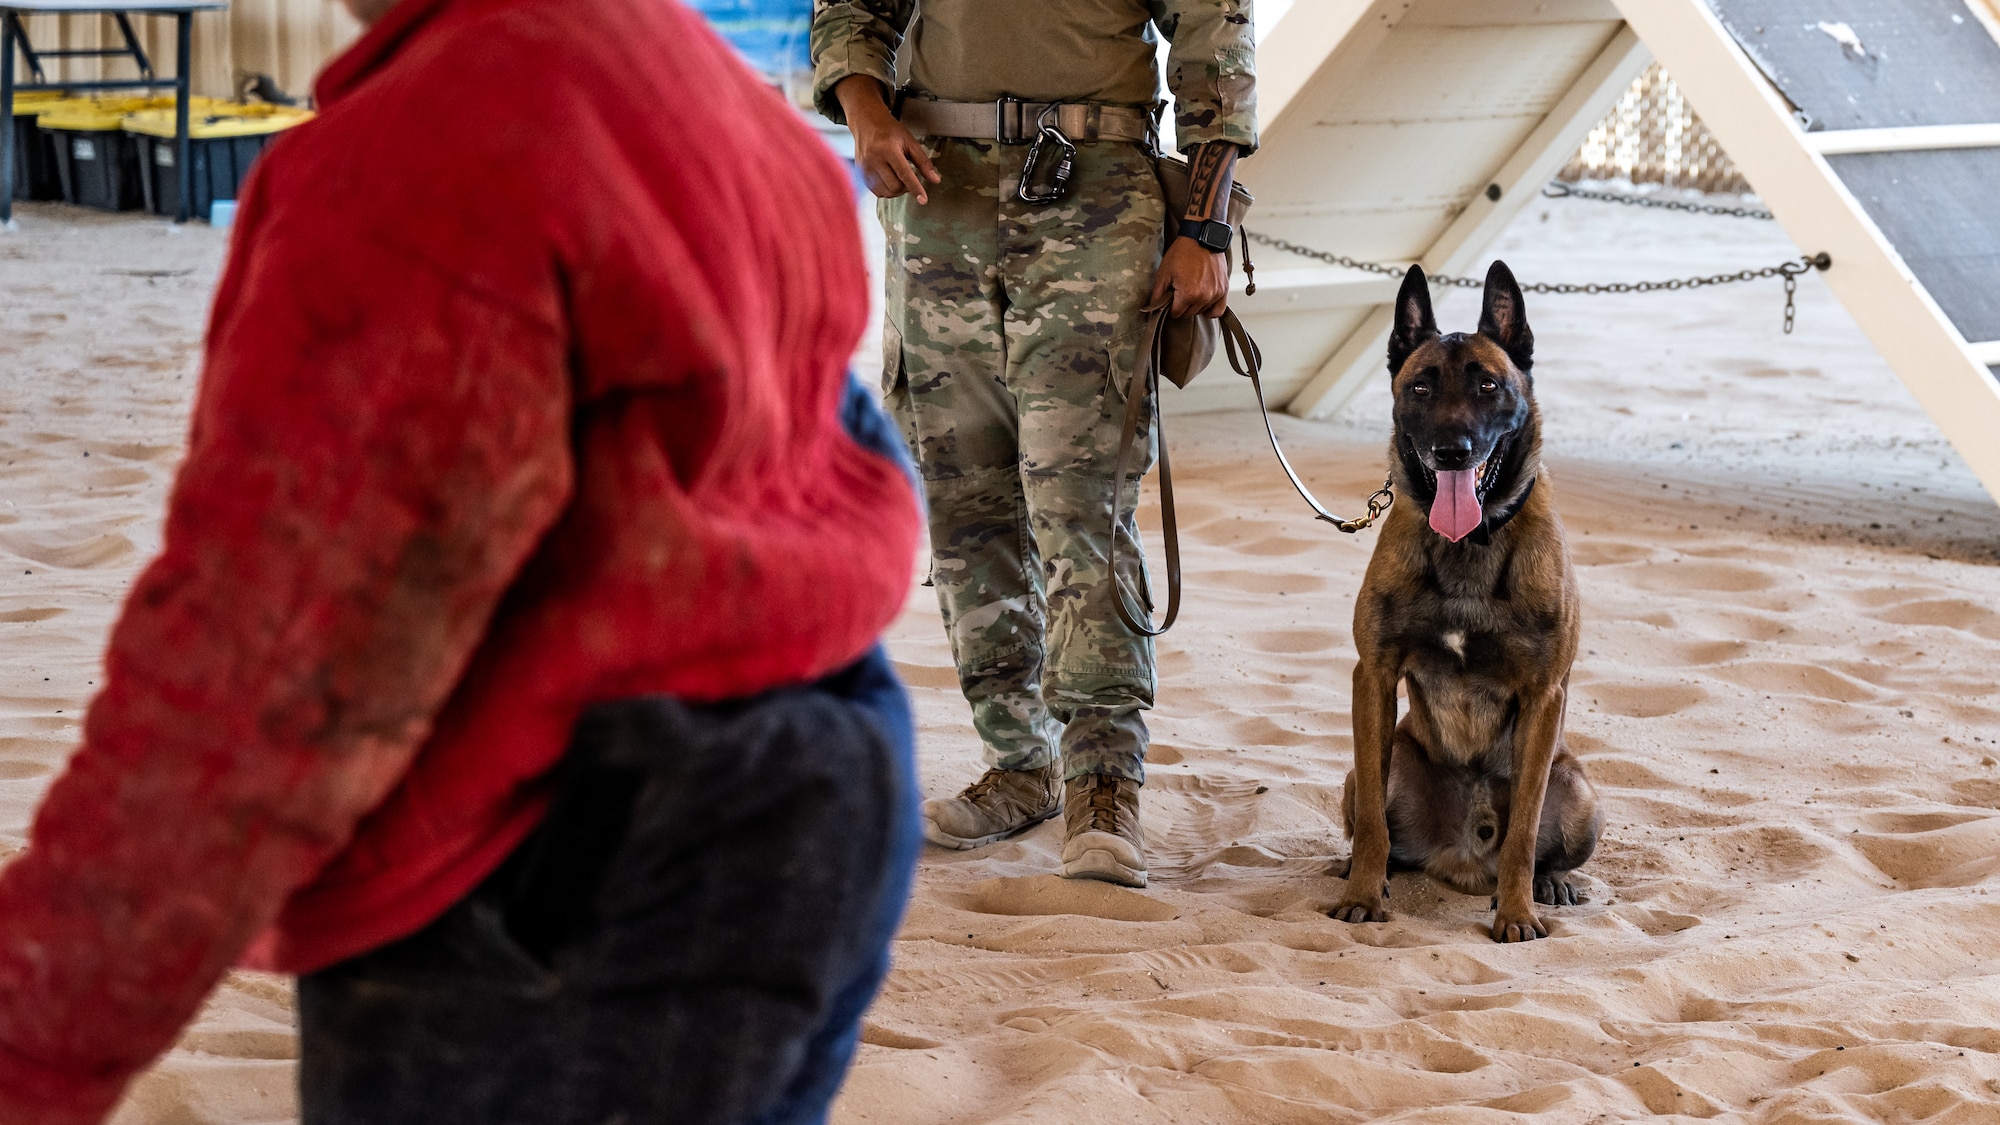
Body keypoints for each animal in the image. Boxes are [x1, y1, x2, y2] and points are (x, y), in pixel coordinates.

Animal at [1336, 260, 1600, 936]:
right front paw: (1363, 895)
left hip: (1580, 792)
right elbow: (1373, 822)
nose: (1451, 451)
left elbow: (1524, 832)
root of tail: (1460, 858)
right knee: (1377, 823)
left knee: (1538, 842)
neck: (1466, 548)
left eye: (1487, 386)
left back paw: (1549, 885)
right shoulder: (1373, 676)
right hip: (1375, 767)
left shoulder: (1543, 696)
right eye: (1421, 389)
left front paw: (1517, 911)